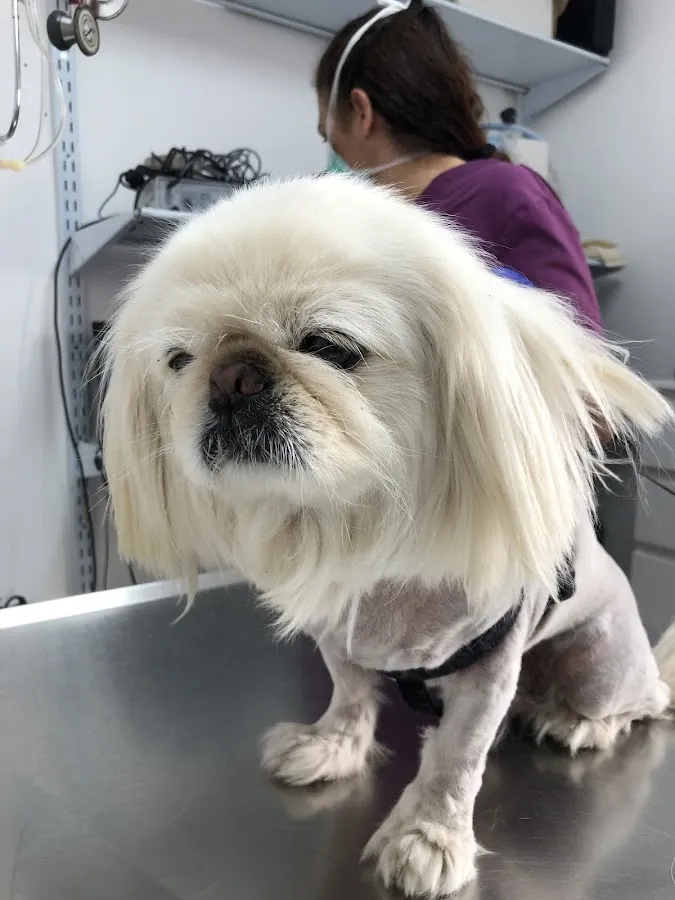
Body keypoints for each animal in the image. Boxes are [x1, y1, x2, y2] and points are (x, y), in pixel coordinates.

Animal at [102, 175, 675, 898]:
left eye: (329, 346)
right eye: (179, 361)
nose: (231, 374)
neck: (358, 531)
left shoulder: (487, 671)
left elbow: (456, 761)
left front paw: (427, 838)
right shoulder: (340, 639)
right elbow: (349, 697)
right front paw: (330, 748)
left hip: (599, 664)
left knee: (639, 703)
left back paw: (573, 721)